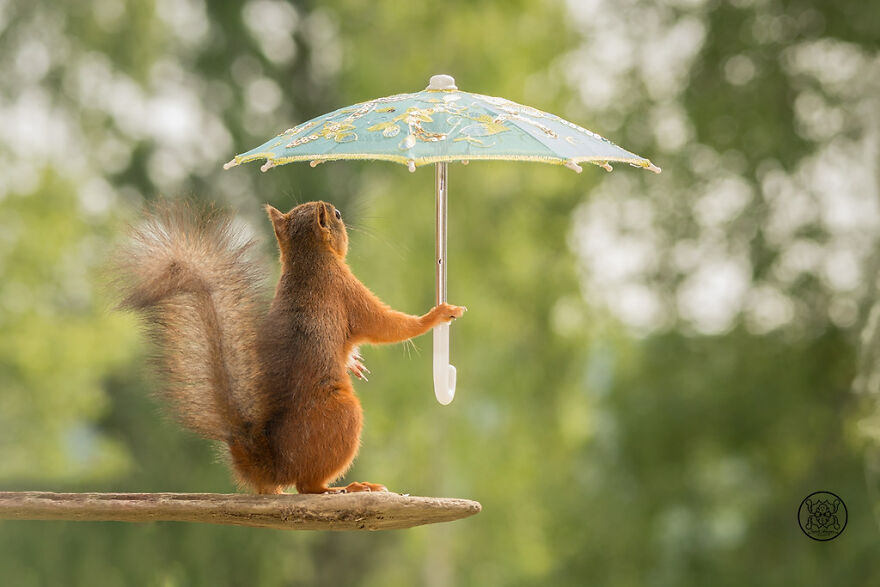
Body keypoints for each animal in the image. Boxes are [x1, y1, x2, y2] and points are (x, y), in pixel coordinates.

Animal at [115, 200, 465, 494]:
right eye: (337, 215)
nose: (344, 217)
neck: (307, 259)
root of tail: (273, 467)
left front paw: (353, 362)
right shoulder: (345, 288)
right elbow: (386, 325)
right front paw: (436, 315)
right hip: (343, 415)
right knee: (307, 486)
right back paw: (348, 487)